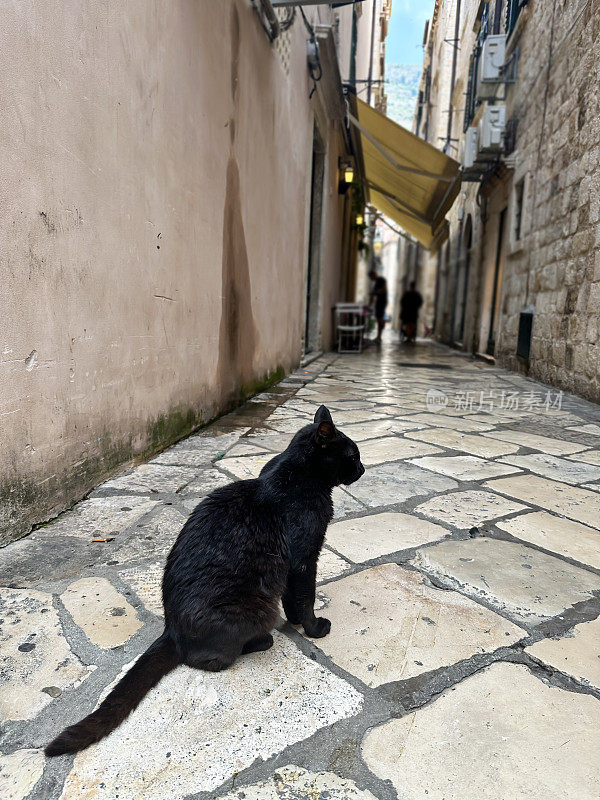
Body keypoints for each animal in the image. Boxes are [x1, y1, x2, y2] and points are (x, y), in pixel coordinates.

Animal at [45, 406, 360, 756]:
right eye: (351, 454)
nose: (362, 468)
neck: (297, 475)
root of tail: (172, 630)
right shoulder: (303, 559)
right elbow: (304, 597)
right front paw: (314, 628)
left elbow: (295, 600)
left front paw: (297, 622)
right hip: (254, 609)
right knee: (206, 659)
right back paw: (260, 641)